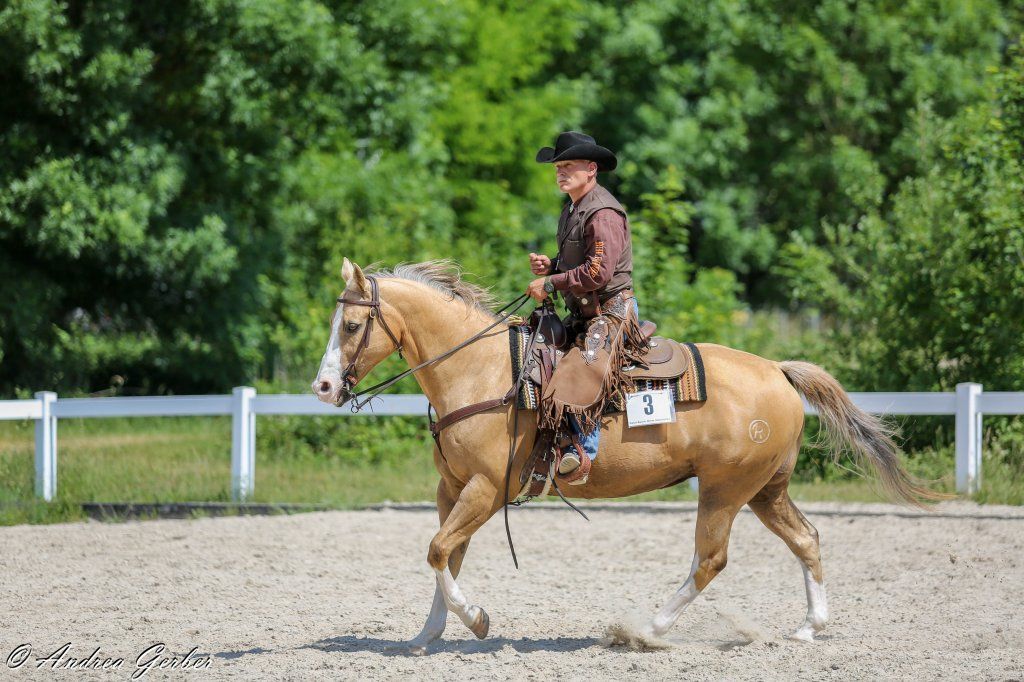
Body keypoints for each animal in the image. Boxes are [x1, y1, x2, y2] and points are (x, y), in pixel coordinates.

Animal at [312, 258, 942, 653]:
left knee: (710, 560)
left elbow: (440, 549)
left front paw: (478, 621)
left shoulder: (488, 490)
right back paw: (810, 627)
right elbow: (446, 556)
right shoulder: (452, 489)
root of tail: (779, 371)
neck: (479, 371)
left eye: (352, 324)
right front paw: (425, 636)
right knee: (806, 539)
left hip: (724, 491)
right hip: (766, 490)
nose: (322, 387)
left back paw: (646, 629)